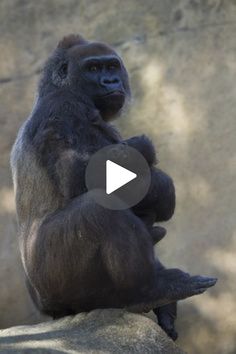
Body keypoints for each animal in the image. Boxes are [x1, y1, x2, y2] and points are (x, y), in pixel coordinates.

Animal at [10, 34, 218, 340]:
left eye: (111, 66)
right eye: (94, 69)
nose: (111, 81)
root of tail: (49, 312)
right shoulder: (62, 109)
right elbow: (80, 176)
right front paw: (162, 186)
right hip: (52, 285)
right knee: (99, 209)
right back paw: (148, 290)